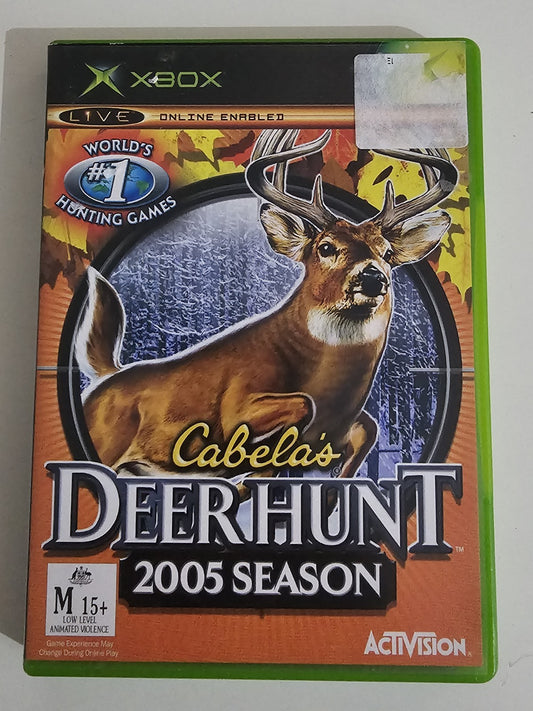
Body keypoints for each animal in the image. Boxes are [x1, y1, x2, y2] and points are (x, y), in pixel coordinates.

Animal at [75, 129, 458, 495]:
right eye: (326, 247)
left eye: (387, 252)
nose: (373, 276)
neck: (334, 398)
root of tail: (107, 378)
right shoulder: (236, 406)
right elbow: (299, 407)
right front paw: (251, 468)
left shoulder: (346, 431)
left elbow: (367, 433)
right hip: (105, 442)